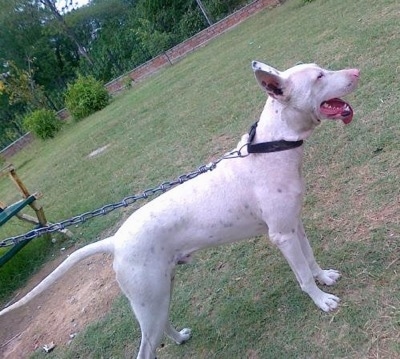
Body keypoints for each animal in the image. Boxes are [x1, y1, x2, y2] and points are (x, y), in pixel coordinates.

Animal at [0, 62, 360, 359]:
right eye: (319, 77)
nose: (356, 72)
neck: (272, 147)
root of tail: (114, 241)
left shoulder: (294, 223)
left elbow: (310, 259)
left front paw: (325, 278)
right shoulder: (283, 236)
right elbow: (302, 275)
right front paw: (321, 301)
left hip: (158, 293)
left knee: (158, 329)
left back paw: (180, 337)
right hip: (151, 296)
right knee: (145, 349)